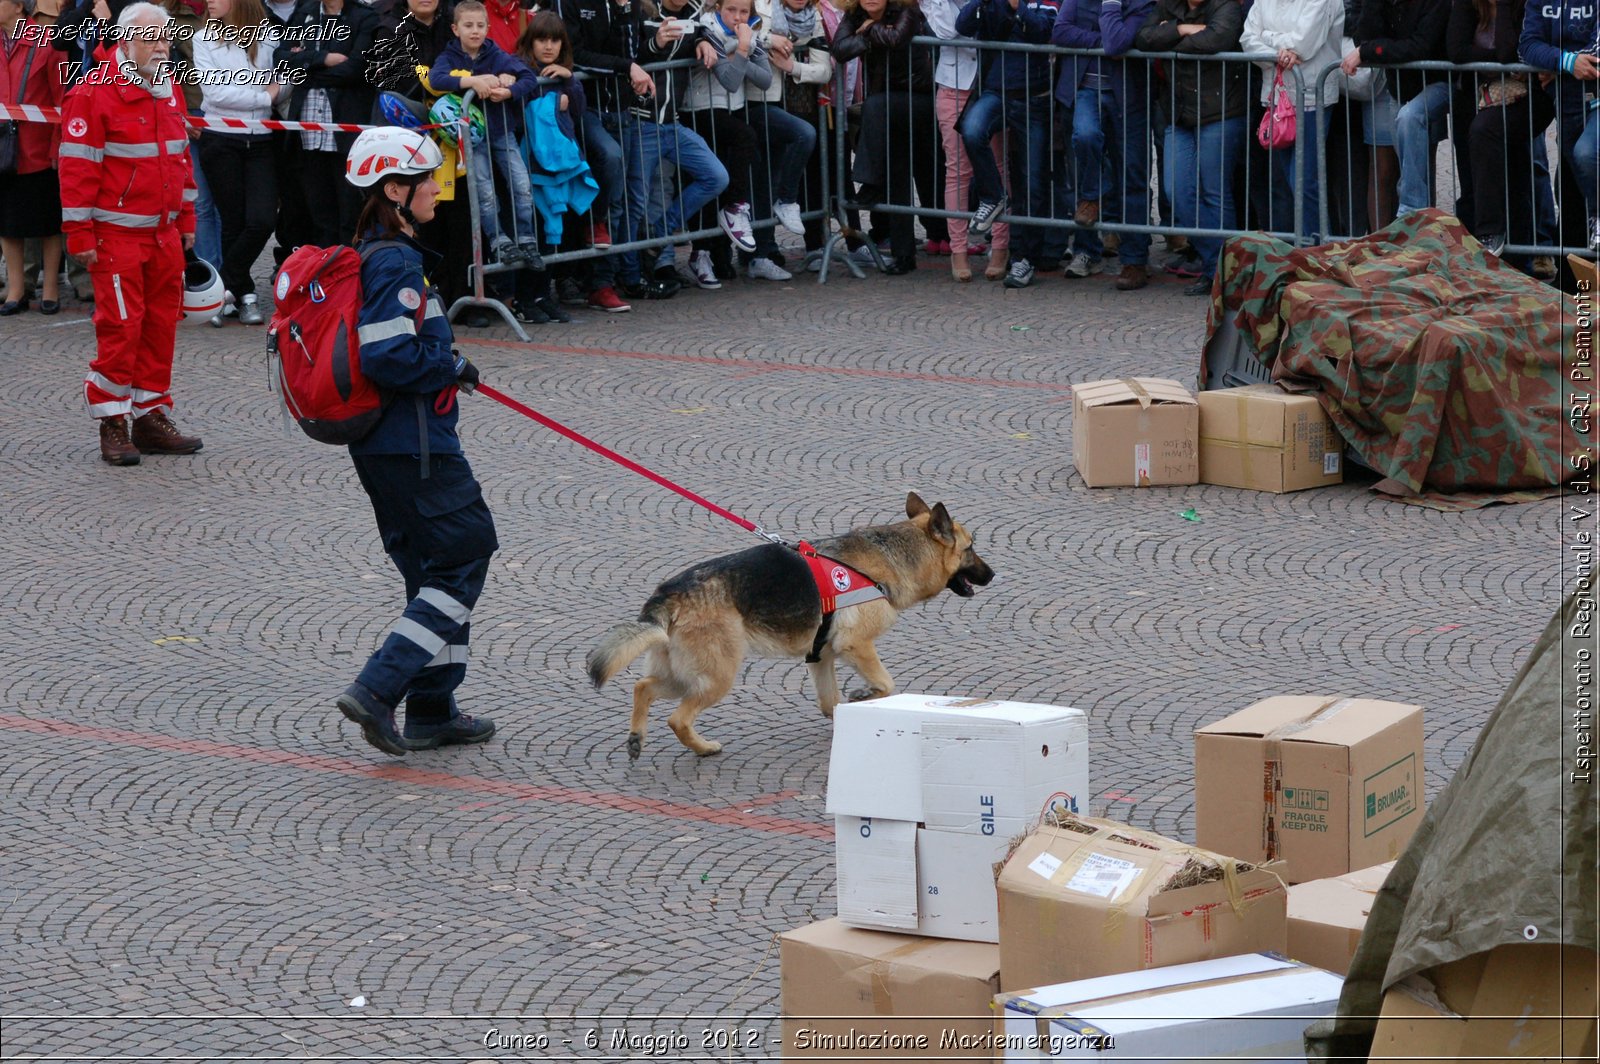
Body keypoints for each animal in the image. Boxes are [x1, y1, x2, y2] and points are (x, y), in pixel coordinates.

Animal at [588, 492, 985, 758]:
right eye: (970, 548)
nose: (993, 575)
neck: (893, 556)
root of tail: (669, 592)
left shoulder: (822, 657)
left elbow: (831, 703)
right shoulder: (857, 647)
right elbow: (886, 685)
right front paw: (866, 695)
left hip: (684, 673)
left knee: (643, 686)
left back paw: (637, 737)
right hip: (716, 677)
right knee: (678, 719)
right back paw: (703, 748)